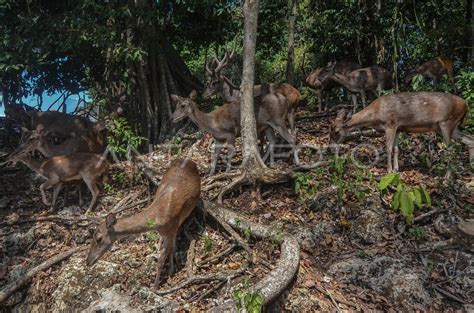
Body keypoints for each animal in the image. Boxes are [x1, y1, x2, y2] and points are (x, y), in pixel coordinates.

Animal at [85, 157, 200, 286]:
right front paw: (170, 271)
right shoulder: (169, 231)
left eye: (99, 238)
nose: (88, 261)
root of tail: (188, 160)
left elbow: (161, 260)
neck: (158, 218)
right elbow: (170, 250)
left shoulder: (170, 229)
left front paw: (155, 287)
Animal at [330, 91, 470, 172]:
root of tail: (466, 103)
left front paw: (389, 170)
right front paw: (396, 168)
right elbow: (396, 148)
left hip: (446, 123)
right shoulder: (399, 127)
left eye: (336, 130)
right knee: (469, 140)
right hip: (449, 127)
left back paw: (447, 178)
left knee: (451, 149)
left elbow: (388, 148)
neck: (375, 114)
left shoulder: (390, 123)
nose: (330, 146)